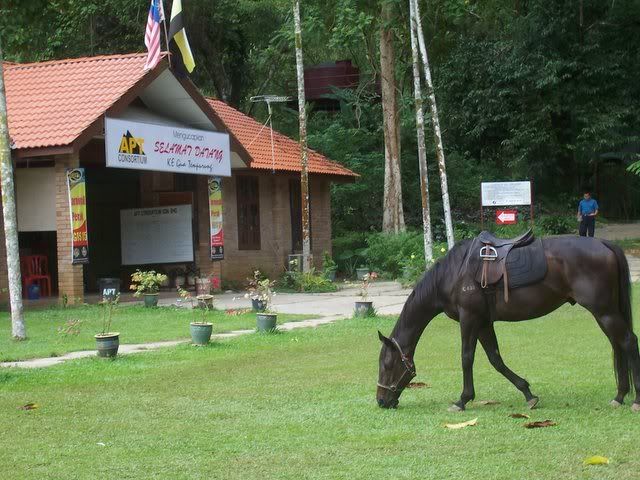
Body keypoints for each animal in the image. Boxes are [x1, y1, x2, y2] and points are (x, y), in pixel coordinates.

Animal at [376, 235, 640, 412]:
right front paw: (528, 393)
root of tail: (604, 244)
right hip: (605, 313)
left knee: (628, 341)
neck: (454, 274)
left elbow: (466, 358)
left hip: (604, 311)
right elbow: (496, 359)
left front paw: (462, 400)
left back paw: (635, 400)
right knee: (618, 345)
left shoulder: (469, 319)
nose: (381, 401)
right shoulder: (483, 322)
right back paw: (619, 396)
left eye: (387, 365)